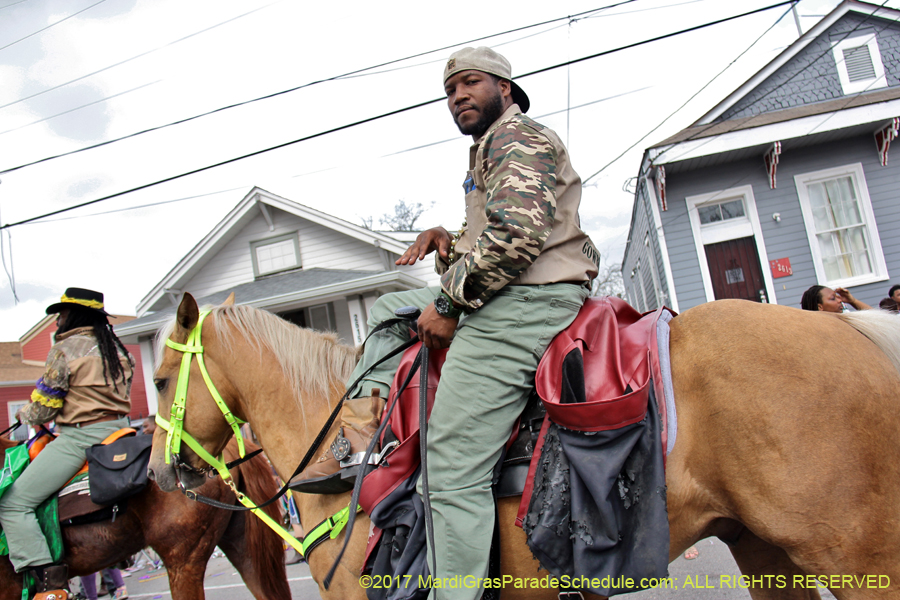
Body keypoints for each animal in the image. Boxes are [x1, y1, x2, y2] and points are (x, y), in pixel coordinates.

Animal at [144, 296, 900, 600]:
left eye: (158, 381)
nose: (158, 472)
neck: (347, 455)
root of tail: (852, 331)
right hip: (763, 550)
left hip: (856, 559)